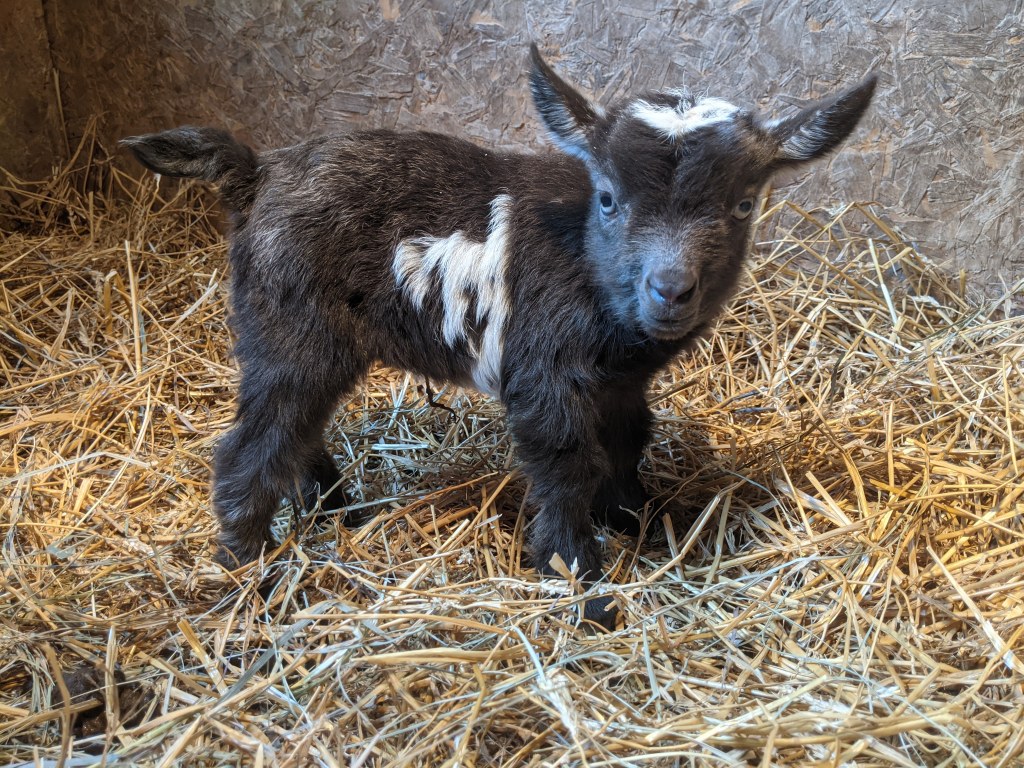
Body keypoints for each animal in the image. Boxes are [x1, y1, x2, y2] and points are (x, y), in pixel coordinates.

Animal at [123, 45, 875, 627]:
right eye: (609, 197)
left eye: (744, 204)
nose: (670, 289)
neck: (585, 263)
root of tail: (256, 173)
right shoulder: (545, 373)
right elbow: (567, 465)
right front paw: (582, 585)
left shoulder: (619, 382)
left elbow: (628, 441)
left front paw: (637, 520)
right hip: (288, 328)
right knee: (253, 446)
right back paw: (245, 572)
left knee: (294, 429)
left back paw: (337, 510)